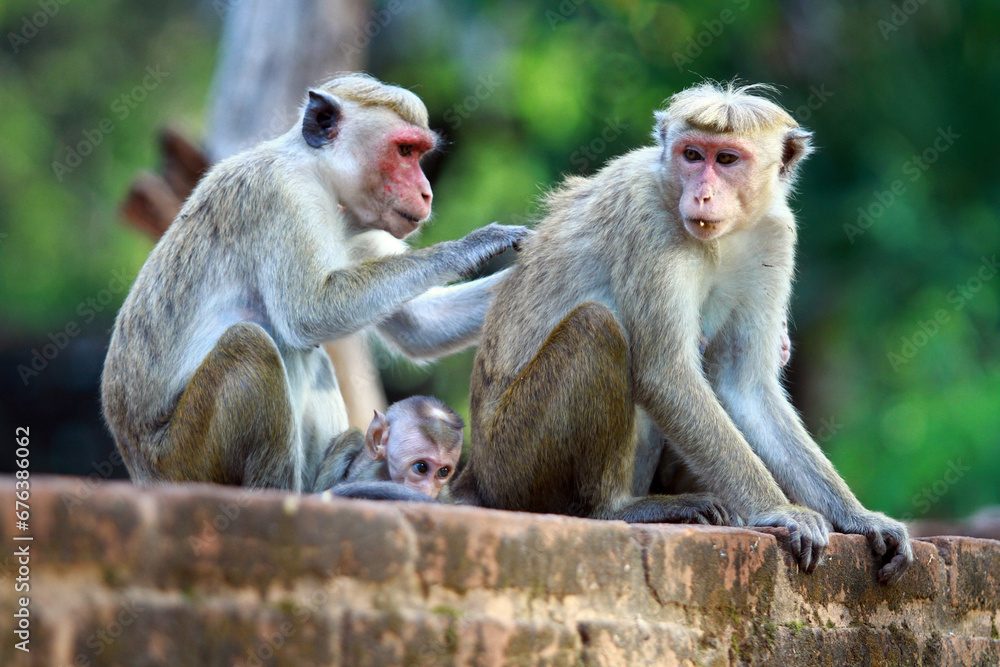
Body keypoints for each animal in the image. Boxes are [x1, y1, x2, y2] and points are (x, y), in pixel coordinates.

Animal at [451, 82, 913, 584]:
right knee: (597, 328)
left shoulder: (774, 233)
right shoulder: (648, 219)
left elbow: (746, 389)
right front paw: (781, 510)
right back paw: (617, 510)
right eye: (692, 155)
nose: (702, 195)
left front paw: (860, 517)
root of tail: (476, 472)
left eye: (726, 159)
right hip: (513, 461)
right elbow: (665, 374)